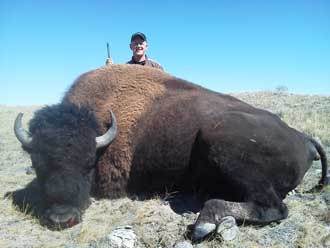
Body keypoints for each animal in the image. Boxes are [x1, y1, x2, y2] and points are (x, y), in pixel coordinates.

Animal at [12, 64, 328, 240]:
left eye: (88, 163)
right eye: (37, 164)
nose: (62, 219)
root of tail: (302, 137)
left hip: (221, 142)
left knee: (273, 207)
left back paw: (203, 225)